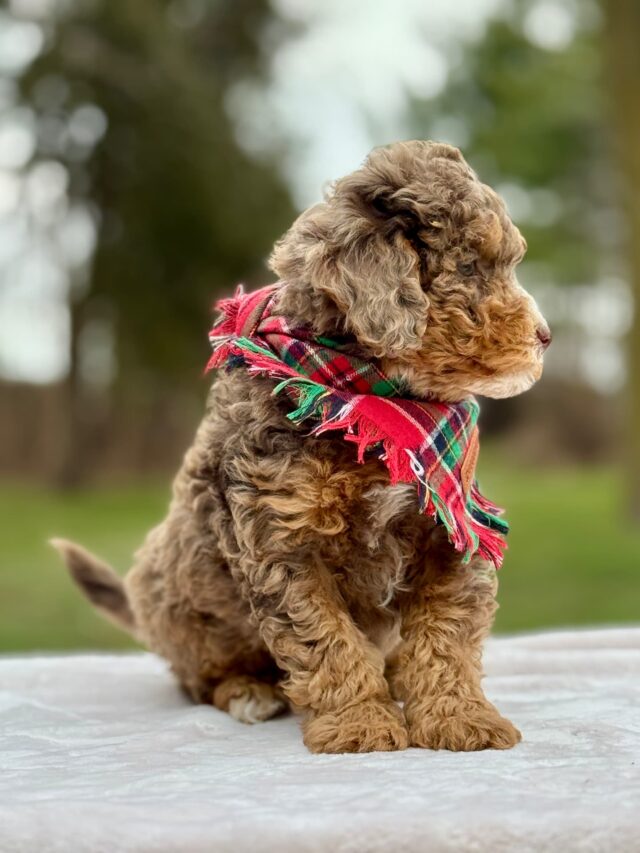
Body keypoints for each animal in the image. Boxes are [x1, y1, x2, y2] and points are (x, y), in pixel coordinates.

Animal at [51, 140, 552, 752]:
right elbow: (326, 639)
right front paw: (360, 722)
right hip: (181, 605)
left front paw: (460, 716)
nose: (545, 336)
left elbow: (446, 634)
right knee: (200, 679)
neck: (367, 407)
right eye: (474, 266)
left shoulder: (448, 530)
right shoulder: (282, 539)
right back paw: (248, 692)